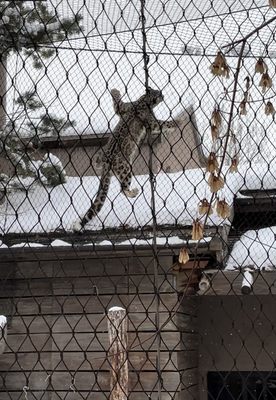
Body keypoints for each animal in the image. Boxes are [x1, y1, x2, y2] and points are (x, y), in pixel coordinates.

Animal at [73, 87, 177, 231]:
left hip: (102, 153)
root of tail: (107, 161)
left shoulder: (124, 107)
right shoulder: (152, 122)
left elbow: (118, 104)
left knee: (98, 162)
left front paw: (115, 91)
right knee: (123, 188)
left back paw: (97, 163)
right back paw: (134, 191)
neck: (142, 101)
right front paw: (176, 123)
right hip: (126, 169)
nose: (163, 95)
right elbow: (162, 123)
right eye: (159, 93)